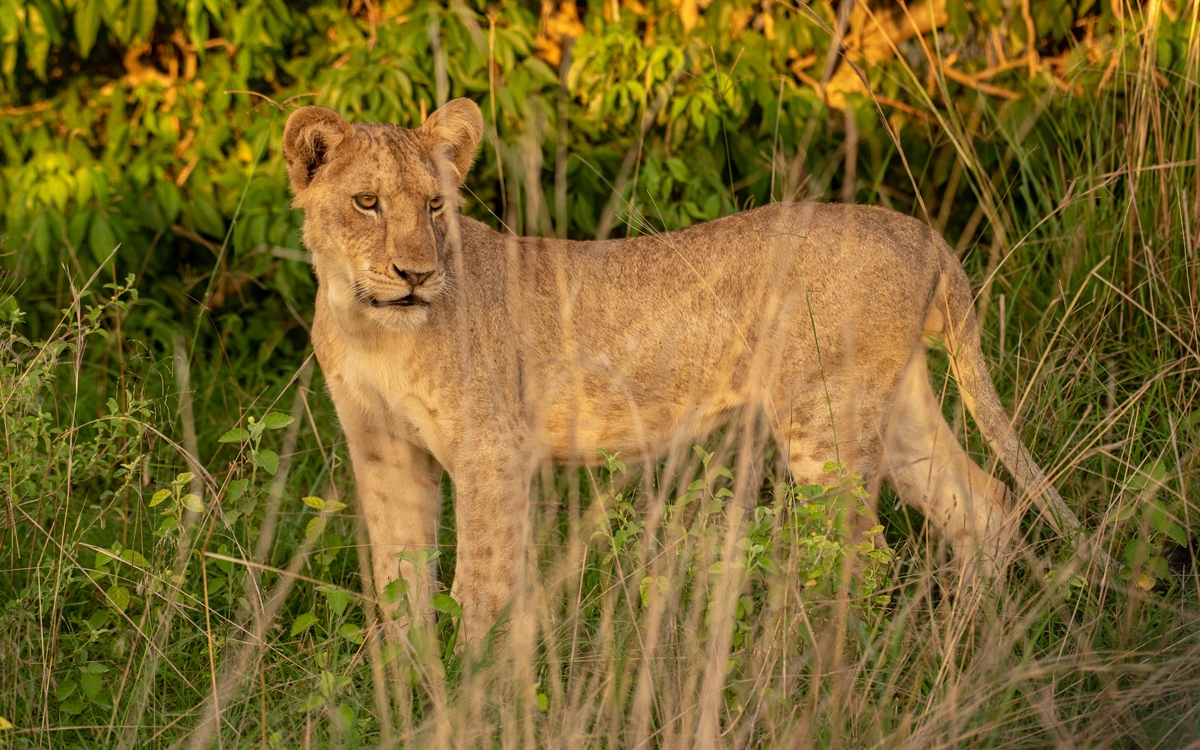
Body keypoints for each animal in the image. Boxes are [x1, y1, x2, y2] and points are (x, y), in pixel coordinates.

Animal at [280, 96, 1099, 638]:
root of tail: (924, 235)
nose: (416, 275)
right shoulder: (386, 453)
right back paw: (968, 647)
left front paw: (472, 693)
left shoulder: (493, 453)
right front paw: (410, 688)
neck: (372, 331)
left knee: (867, 555)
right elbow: (400, 583)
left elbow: (480, 586)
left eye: (435, 207)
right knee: (985, 503)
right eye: (367, 202)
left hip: (824, 422)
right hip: (892, 409)